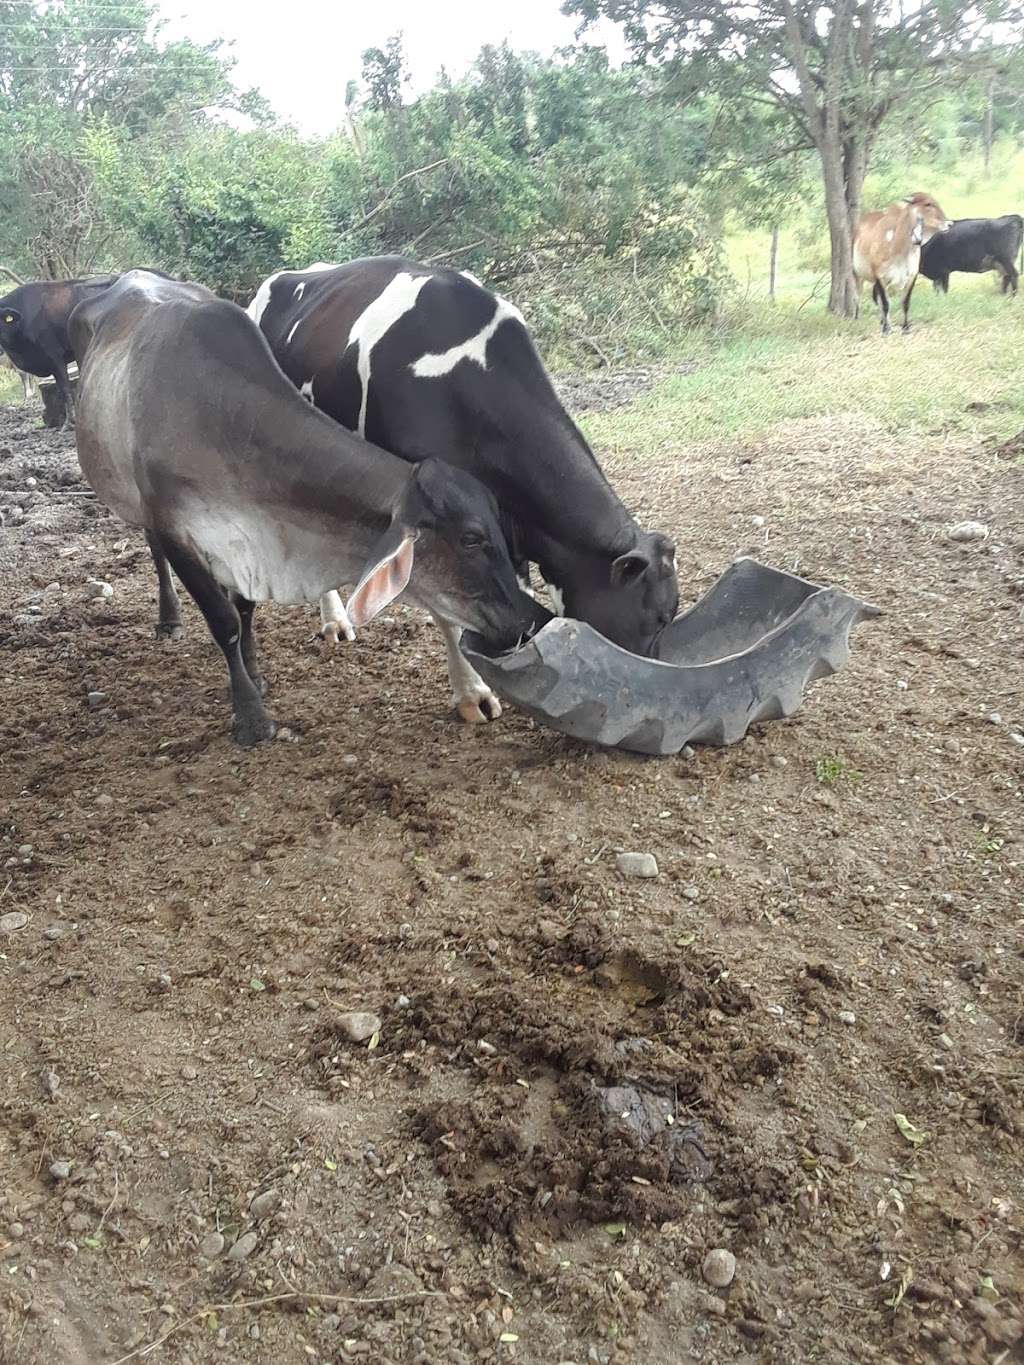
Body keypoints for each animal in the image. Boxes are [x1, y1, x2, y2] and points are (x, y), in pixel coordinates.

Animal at [68, 273, 548, 753]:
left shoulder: (245, 539)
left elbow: (244, 609)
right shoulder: (176, 531)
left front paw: (254, 676)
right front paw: (251, 716)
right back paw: (169, 619)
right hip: (132, 498)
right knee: (153, 550)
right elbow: (224, 622)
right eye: (471, 538)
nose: (530, 621)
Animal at [247, 257, 682, 726]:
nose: (648, 690)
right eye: (658, 616)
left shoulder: (506, 524)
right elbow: (450, 610)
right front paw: (473, 692)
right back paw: (333, 620)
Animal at [851, 193, 955, 334]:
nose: (950, 224)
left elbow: (905, 302)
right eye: (928, 204)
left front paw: (905, 327)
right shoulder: (880, 276)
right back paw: (858, 318)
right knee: (858, 296)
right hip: (857, 274)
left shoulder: (911, 276)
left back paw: (883, 321)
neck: (899, 247)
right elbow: (886, 303)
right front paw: (886, 330)